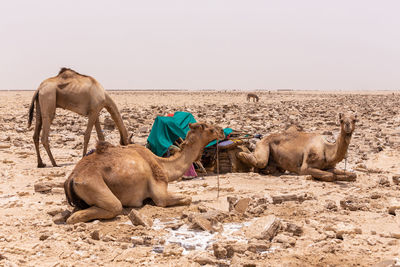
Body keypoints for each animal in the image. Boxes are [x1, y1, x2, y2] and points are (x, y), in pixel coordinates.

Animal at [63, 123, 223, 224]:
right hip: (92, 184)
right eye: (209, 128)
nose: (221, 131)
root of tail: (71, 178)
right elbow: (187, 198)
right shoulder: (160, 194)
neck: (163, 165)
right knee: (111, 207)